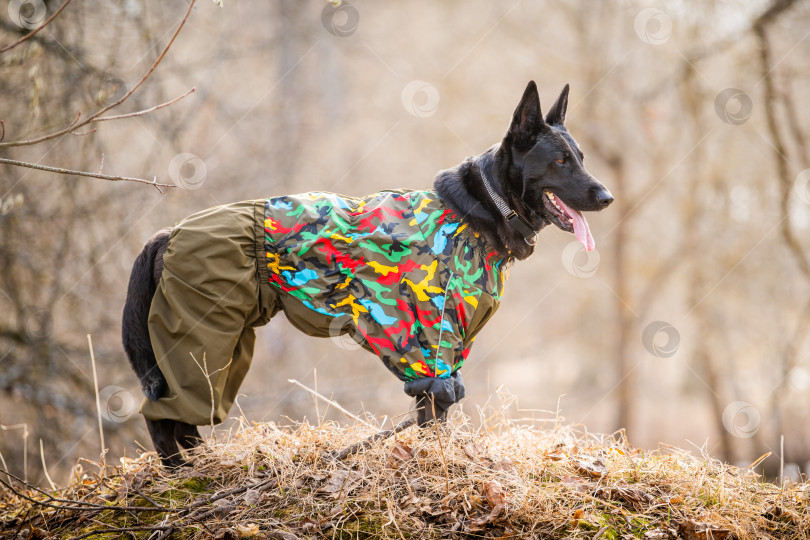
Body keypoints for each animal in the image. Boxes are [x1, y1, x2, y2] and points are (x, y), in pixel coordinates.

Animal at [121, 80, 612, 464]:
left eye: (581, 157)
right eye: (561, 161)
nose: (607, 197)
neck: (483, 209)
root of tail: (168, 234)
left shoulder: (448, 351)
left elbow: (437, 411)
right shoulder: (432, 345)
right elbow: (436, 415)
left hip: (224, 349)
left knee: (186, 422)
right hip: (202, 341)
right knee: (162, 420)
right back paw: (181, 479)